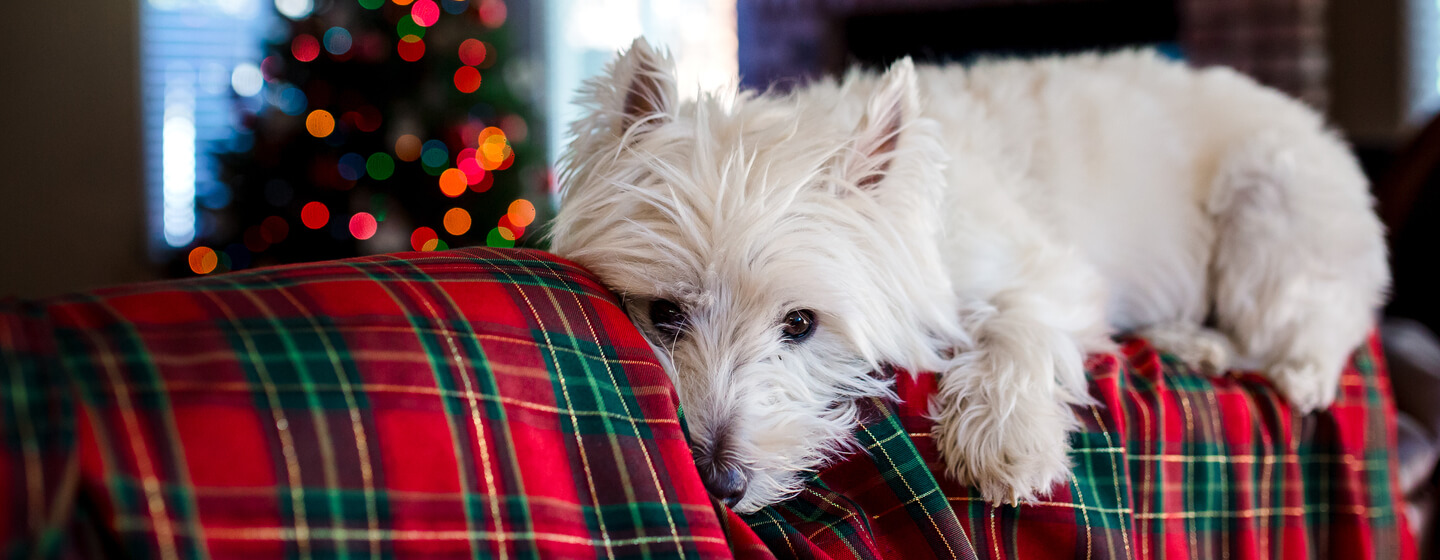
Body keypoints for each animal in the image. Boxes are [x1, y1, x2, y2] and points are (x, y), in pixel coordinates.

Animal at [544, 38, 1388, 509]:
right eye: (664, 314)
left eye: (801, 324)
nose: (721, 483)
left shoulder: (1049, 270)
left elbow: (1019, 327)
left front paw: (1008, 441)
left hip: (1270, 206)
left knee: (1310, 334)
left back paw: (1253, 355)